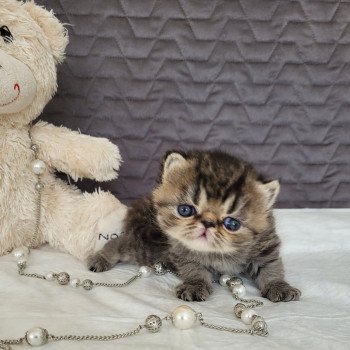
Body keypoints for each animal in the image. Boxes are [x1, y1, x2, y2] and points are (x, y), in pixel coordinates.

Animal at [87, 149, 300, 302]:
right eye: (185, 210)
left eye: (232, 223)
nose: (207, 222)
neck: (216, 253)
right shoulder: (181, 251)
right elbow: (194, 269)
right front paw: (196, 286)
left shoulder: (265, 246)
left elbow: (271, 267)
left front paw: (279, 286)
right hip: (145, 246)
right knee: (118, 242)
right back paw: (101, 258)